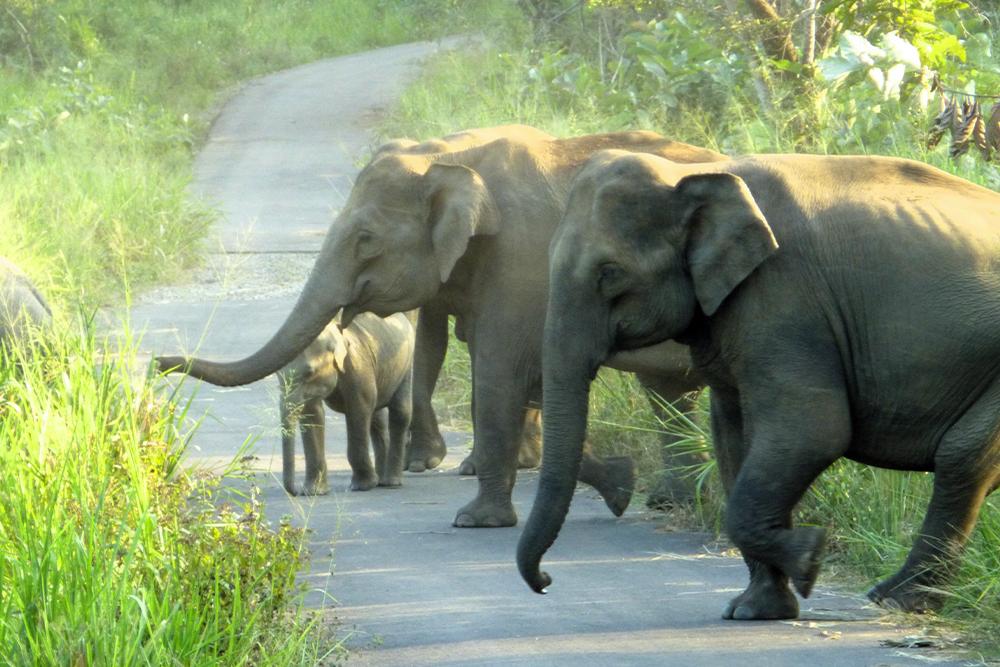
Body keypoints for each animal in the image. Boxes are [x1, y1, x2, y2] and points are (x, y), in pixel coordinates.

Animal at [274, 312, 414, 496]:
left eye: (309, 372)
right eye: (276, 374)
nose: (296, 491)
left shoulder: (357, 367)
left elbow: (359, 409)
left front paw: (361, 486)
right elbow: (313, 413)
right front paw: (314, 492)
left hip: (406, 363)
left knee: (399, 412)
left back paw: (390, 482)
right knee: (378, 418)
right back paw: (381, 480)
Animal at [516, 151, 1000, 620]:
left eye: (609, 273)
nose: (545, 582)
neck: (695, 173)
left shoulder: (784, 300)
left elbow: (813, 431)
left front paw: (810, 556)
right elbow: (733, 438)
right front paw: (756, 609)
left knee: (962, 458)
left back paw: (894, 599)